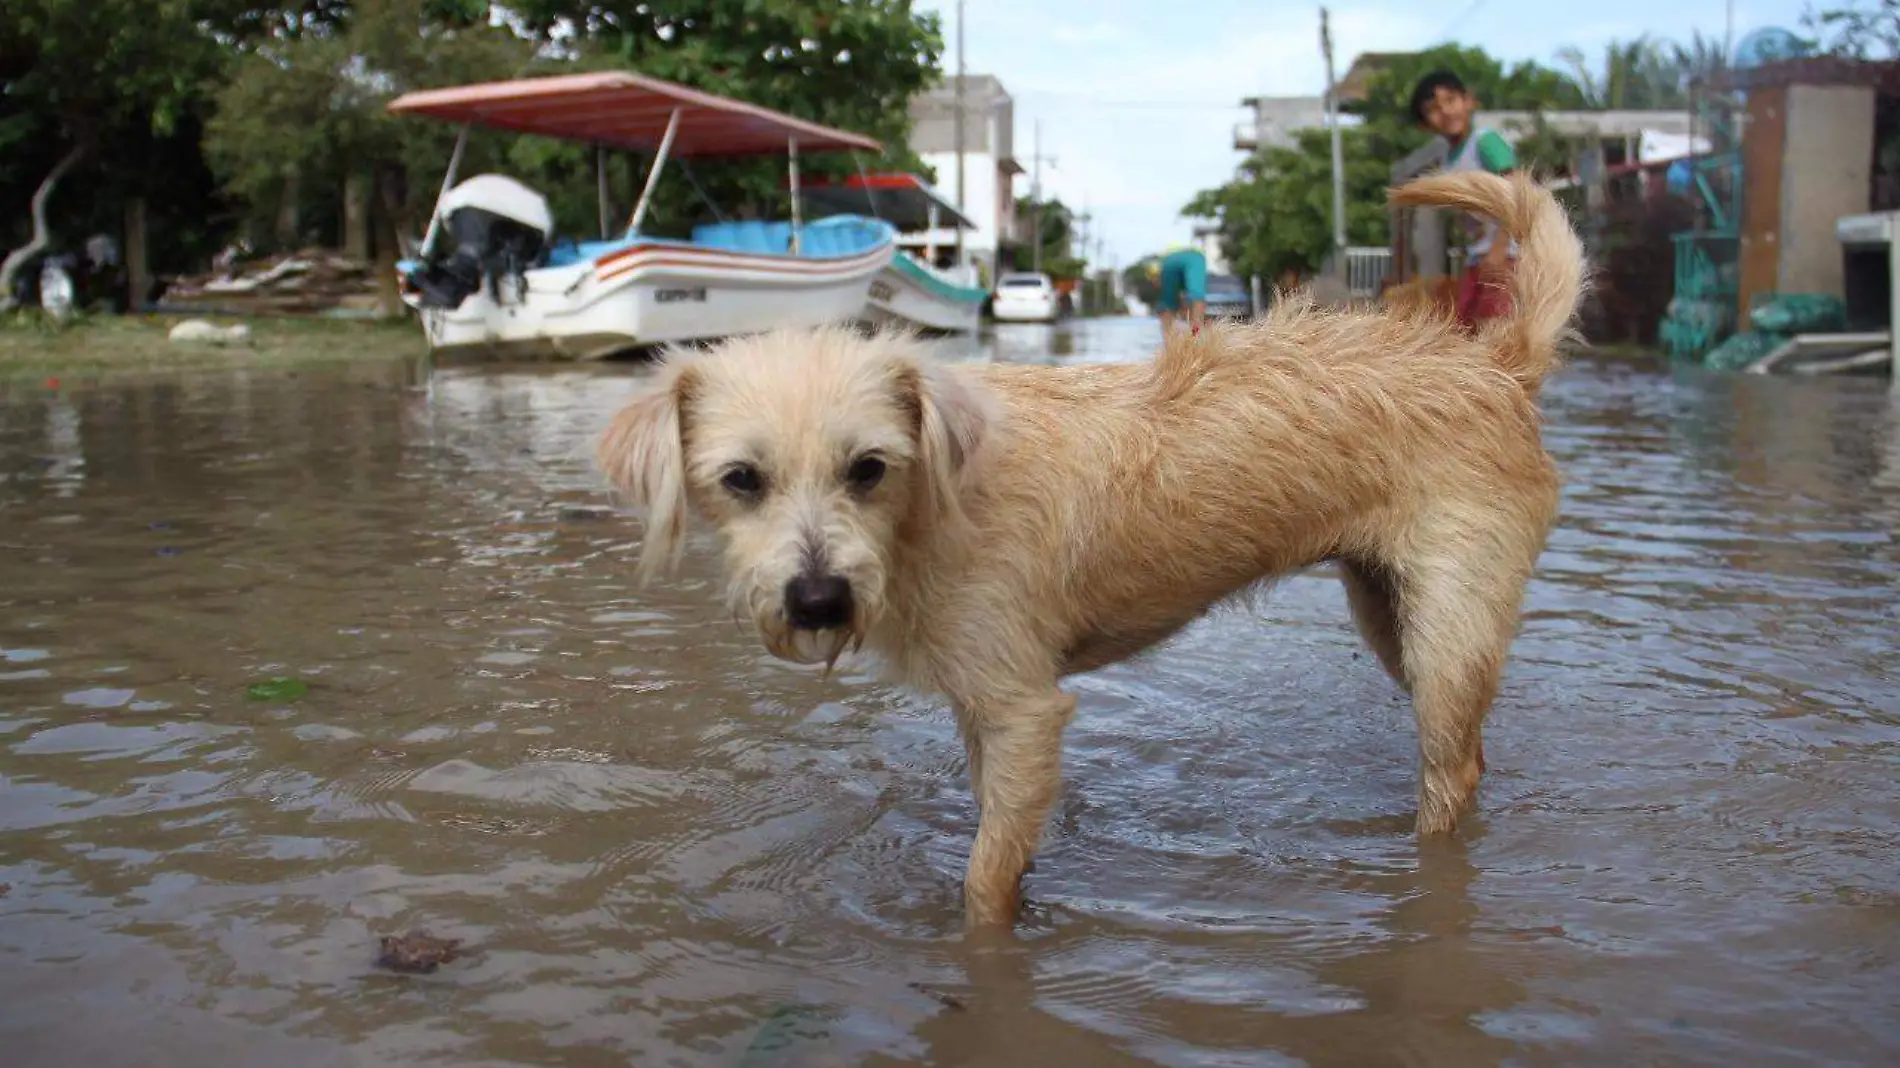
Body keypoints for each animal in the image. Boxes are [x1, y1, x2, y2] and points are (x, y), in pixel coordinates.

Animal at [600, 170, 1580, 927]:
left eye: (868, 467)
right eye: (741, 480)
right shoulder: (985, 713)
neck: (934, 504)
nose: (818, 602)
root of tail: (1495, 363)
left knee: (1451, 773)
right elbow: (1005, 832)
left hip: (1447, 636)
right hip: (1389, 615)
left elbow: (984, 888)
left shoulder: (1023, 709)